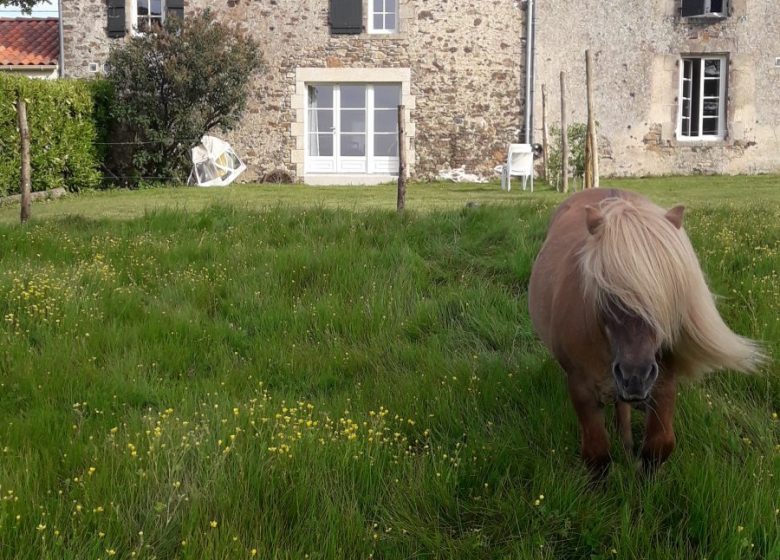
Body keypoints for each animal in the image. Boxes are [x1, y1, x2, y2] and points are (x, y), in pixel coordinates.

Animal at [528, 188, 764, 472]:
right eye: (607, 292)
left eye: (668, 295)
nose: (635, 376)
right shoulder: (580, 386)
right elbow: (597, 455)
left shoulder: (664, 380)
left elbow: (659, 445)